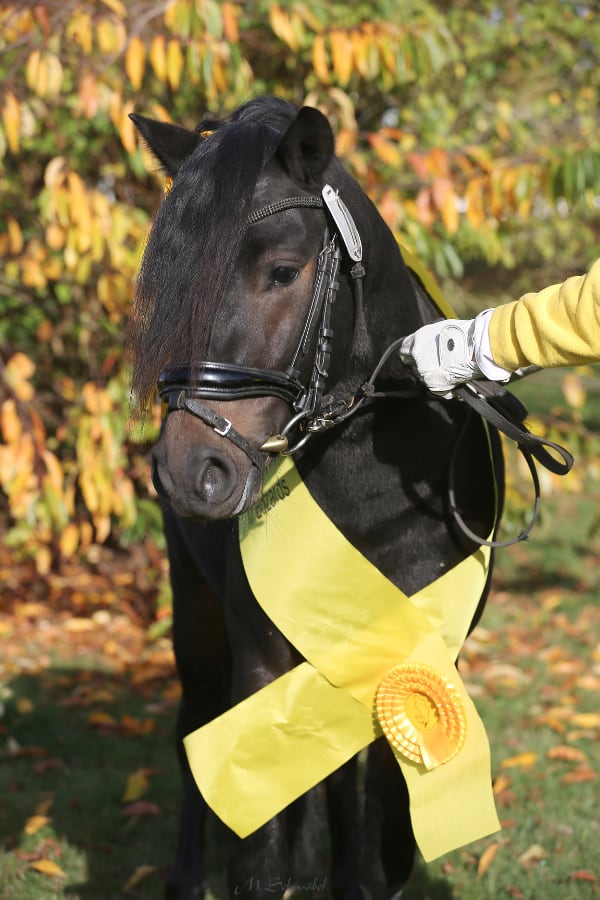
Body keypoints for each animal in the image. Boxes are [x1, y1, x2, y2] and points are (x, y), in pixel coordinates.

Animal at [130, 98, 502, 900]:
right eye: (173, 286)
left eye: (282, 271)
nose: (189, 471)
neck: (374, 488)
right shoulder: (260, 660)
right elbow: (257, 849)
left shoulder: (418, 656)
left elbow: (380, 828)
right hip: (197, 618)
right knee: (191, 729)